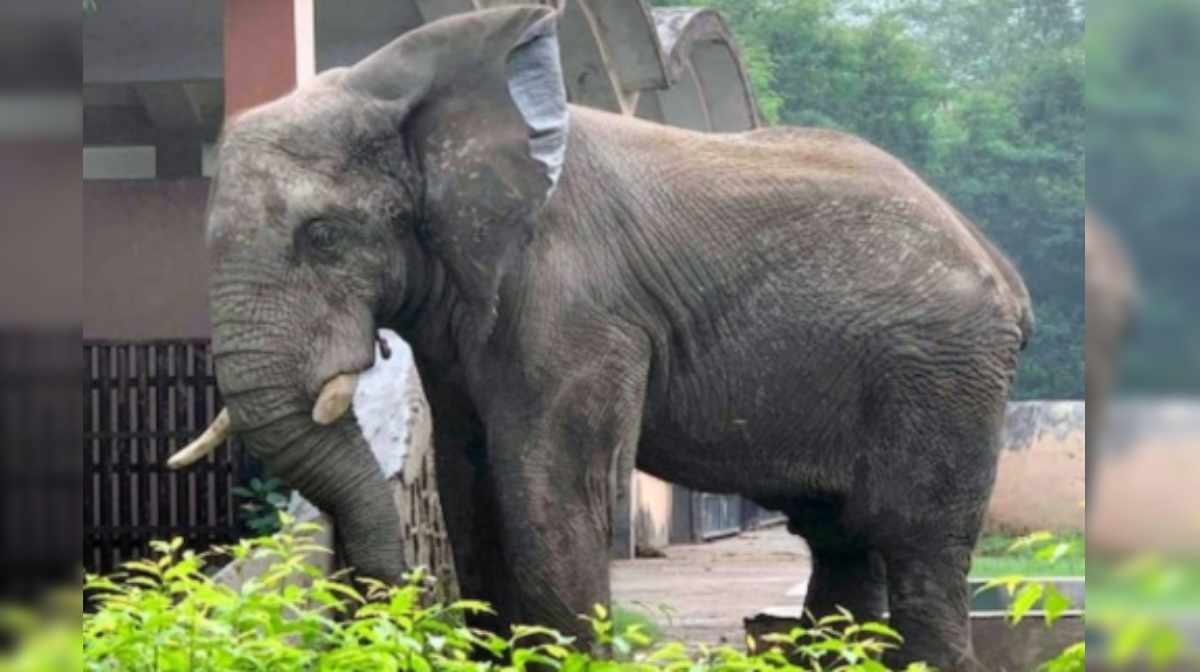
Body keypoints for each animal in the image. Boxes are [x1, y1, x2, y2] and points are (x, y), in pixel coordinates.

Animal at [178, 5, 1033, 670]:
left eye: (322, 237)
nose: (386, 611)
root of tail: (998, 263)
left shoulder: (574, 301)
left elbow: (546, 492)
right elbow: (468, 484)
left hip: (944, 370)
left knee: (916, 541)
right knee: (841, 541)